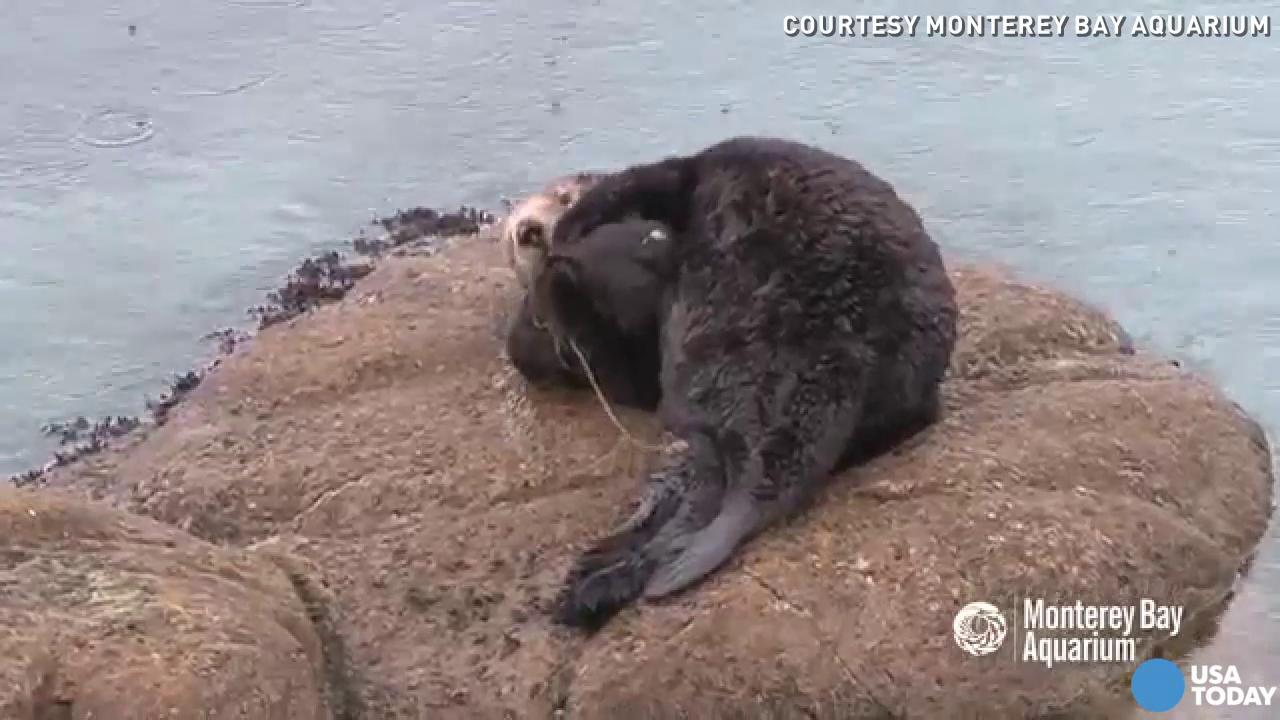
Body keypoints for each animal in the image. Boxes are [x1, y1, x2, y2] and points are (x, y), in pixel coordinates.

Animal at [542, 134, 962, 627]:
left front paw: (567, 234)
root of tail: (840, 350)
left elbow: (618, 193)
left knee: (706, 476)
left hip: (706, 366)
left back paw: (606, 580)